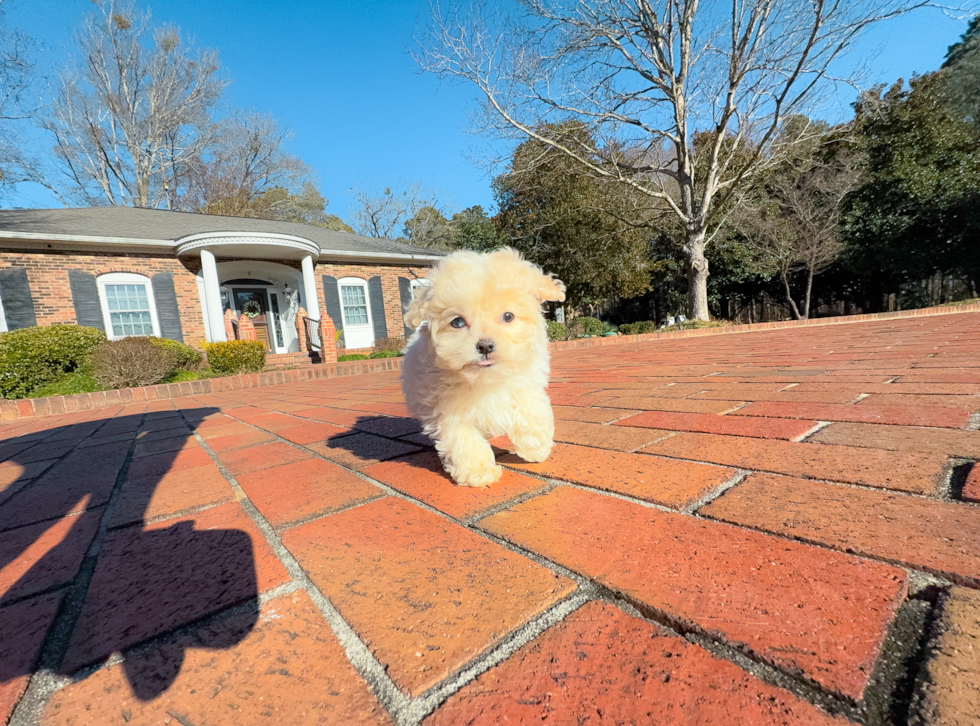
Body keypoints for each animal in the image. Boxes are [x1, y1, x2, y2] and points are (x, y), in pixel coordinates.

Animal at [400, 249, 568, 490]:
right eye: (458, 322)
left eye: (508, 316)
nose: (485, 346)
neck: (486, 379)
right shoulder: (449, 410)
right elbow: (465, 440)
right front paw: (478, 472)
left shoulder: (524, 383)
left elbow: (531, 409)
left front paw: (536, 446)